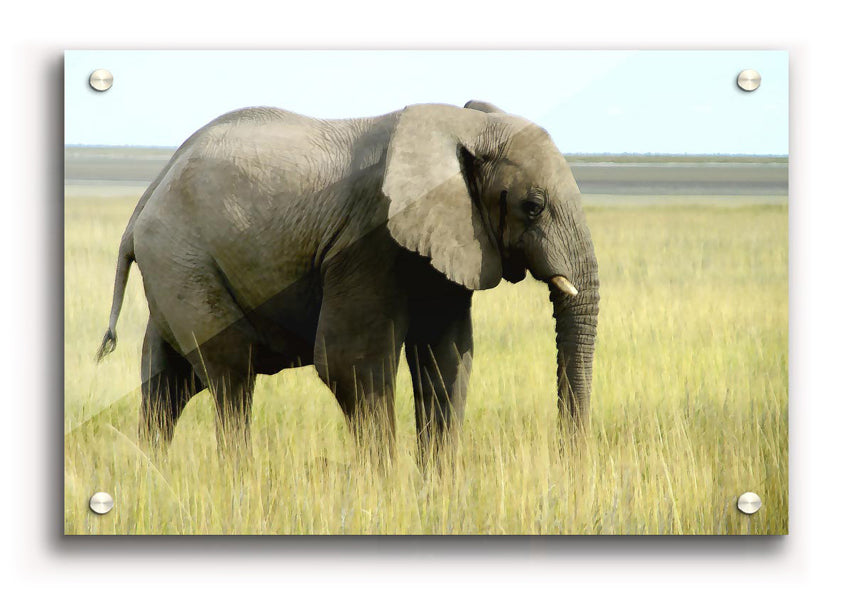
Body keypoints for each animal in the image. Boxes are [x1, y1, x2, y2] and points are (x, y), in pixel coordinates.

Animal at [96, 101, 600, 462]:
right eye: (532, 207)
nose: (567, 462)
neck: (464, 125)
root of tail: (145, 200)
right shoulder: (368, 239)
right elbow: (351, 364)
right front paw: (387, 492)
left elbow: (448, 358)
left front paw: (437, 491)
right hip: (183, 260)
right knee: (231, 377)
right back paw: (237, 480)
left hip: (175, 268)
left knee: (168, 382)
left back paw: (152, 473)